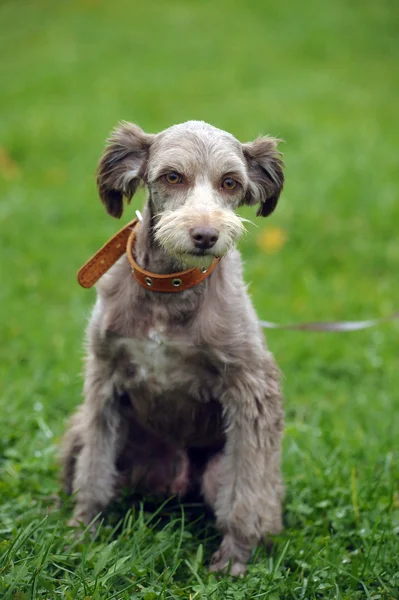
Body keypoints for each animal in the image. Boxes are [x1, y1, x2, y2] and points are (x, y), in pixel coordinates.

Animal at [62, 119, 286, 576]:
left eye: (230, 182)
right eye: (172, 176)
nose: (205, 235)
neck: (171, 290)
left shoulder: (253, 391)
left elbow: (246, 496)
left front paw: (233, 562)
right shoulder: (103, 383)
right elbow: (93, 474)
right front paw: (81, 535)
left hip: (219, 472)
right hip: (80, 429)